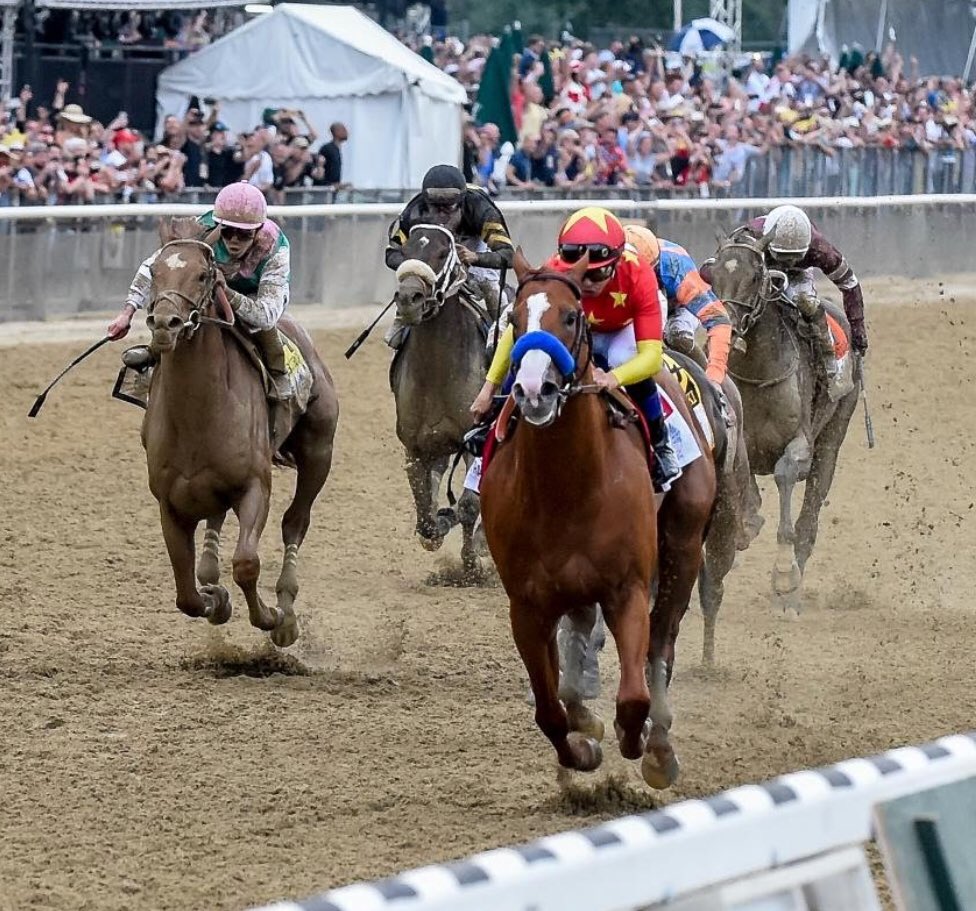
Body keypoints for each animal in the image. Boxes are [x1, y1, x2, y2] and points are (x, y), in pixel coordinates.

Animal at [141, 219, 340, 648]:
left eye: (202, 274)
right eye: (154, 272)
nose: (165, 324)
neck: (197, 415)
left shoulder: (254, 486)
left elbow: (247, 562)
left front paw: (273, 616)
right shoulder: (169, 502)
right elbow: (186, 593)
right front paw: (215, 599)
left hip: (320, 451)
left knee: (295, 522)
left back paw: (286, 606)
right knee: (215, 523)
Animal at [388, 224, 488, 572]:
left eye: (444, 253)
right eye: (405, 251)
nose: (409, 298)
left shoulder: (475, 441)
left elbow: (470, 503)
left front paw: (471, 565)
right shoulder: (415, 446)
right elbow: (426, 516)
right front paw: (439, 521)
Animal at [480, 251, 692, 792]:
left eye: (571, 317)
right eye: (513, 320)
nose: (534, 390)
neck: (567, 489)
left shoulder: (628, 588)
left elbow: (634, 697)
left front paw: (636, 739)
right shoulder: (527, 606)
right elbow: (548, 710)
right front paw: (581, 748)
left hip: (685, 547)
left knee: (662, 643)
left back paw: (661, 746)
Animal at [704, 232, 856, 616]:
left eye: (756, 276)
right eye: (714, 276)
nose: (727, 327)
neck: (758, 373)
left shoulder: (800, 445)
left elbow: (786, 474)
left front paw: (785, 574)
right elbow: (745, 487)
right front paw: (746, 524)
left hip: (833, 436)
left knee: (808, 520)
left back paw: (790, 594)